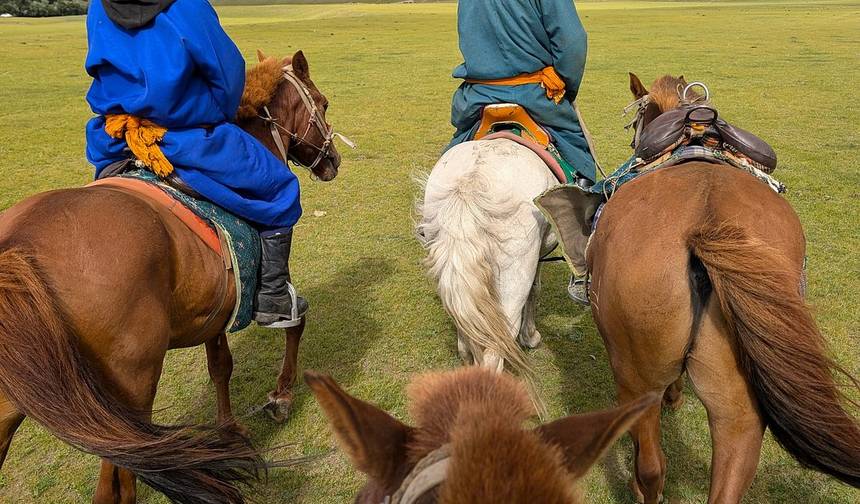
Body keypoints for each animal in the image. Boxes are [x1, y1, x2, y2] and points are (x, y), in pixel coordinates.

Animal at [0, 50, 342, 504]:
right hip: (130, 388)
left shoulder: (217, 306)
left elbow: (220, 365)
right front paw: (281, 397)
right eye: (322, 103)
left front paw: (229, 430)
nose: (333, 161)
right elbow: (295, 321)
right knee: (118, 483)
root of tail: (17, 249)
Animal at [417, 136, 562, 382]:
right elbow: (535, 289)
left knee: (467, 343)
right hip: (513, 278)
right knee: (494, 354)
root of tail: (472, 180)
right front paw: (531, 337)